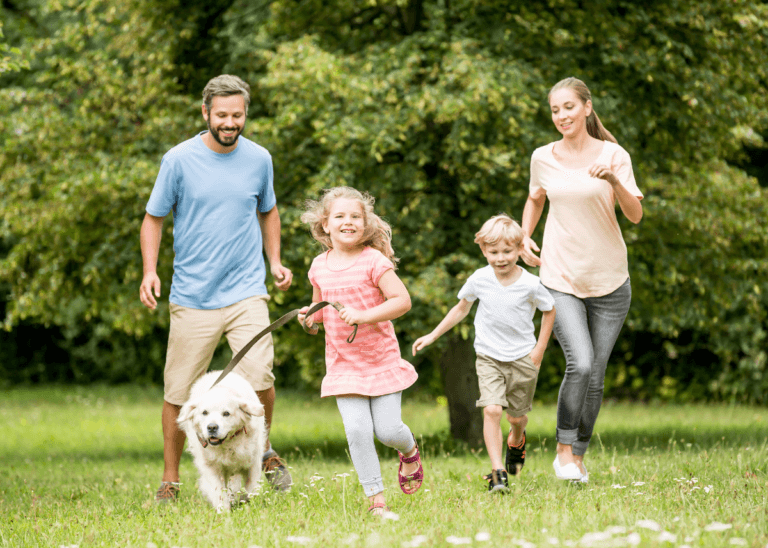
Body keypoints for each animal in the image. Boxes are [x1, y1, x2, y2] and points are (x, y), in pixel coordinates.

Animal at [178, 370, 268, 512]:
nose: (212, 427)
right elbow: (218, 490)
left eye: (226, 413)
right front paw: (224, 511)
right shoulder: (210, 466)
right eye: (204, 412)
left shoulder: (253, 462)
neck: (227, 445)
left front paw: (249, 504)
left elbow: (251, 487)